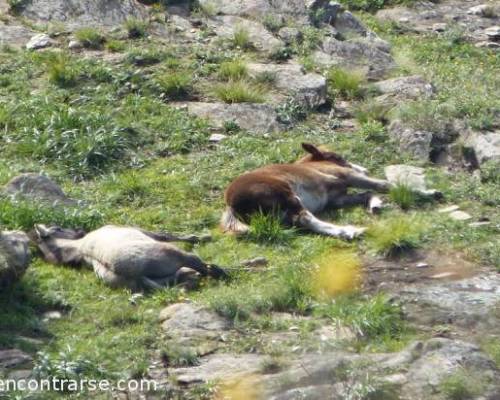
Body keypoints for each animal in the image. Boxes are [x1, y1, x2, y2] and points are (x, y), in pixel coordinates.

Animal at [35, 225, 229, 290]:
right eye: (58, 227)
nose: (78, 230)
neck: (79, 247)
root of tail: (135, 274)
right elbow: (166, 234)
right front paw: (203, 237)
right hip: (172, 253)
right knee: (200, 265)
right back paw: (223, 272)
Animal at [221, 143, 440, 239]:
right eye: (338, 157)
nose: (364, 169)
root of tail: (232, 206)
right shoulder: (346, 176)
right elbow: (383, 185)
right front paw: (431, 192)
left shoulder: (335, 199)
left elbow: (365, 194)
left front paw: (375, 205)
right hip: (286, 195)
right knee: (304, 218)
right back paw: (351, 231)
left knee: (300, 222)